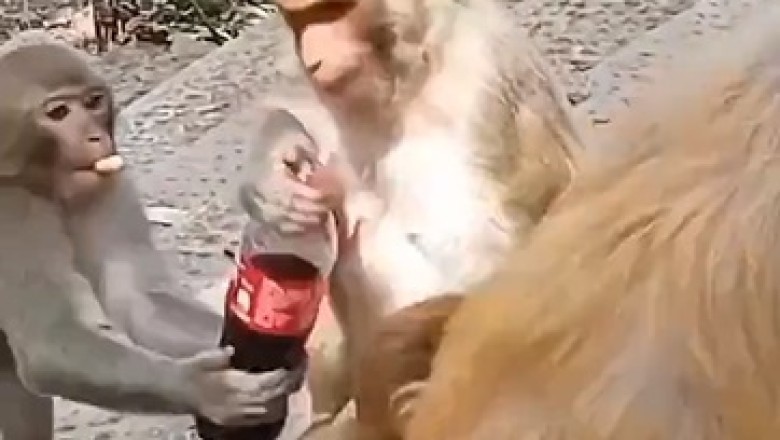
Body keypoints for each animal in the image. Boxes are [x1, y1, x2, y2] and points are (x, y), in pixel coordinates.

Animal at [0, 43, 303, 439]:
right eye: (58, 113)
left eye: (94, 102)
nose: (96, 138)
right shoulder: (10, 212)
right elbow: (48, 341)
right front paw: (201, 389)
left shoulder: (108, 179)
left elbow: (138, 301)